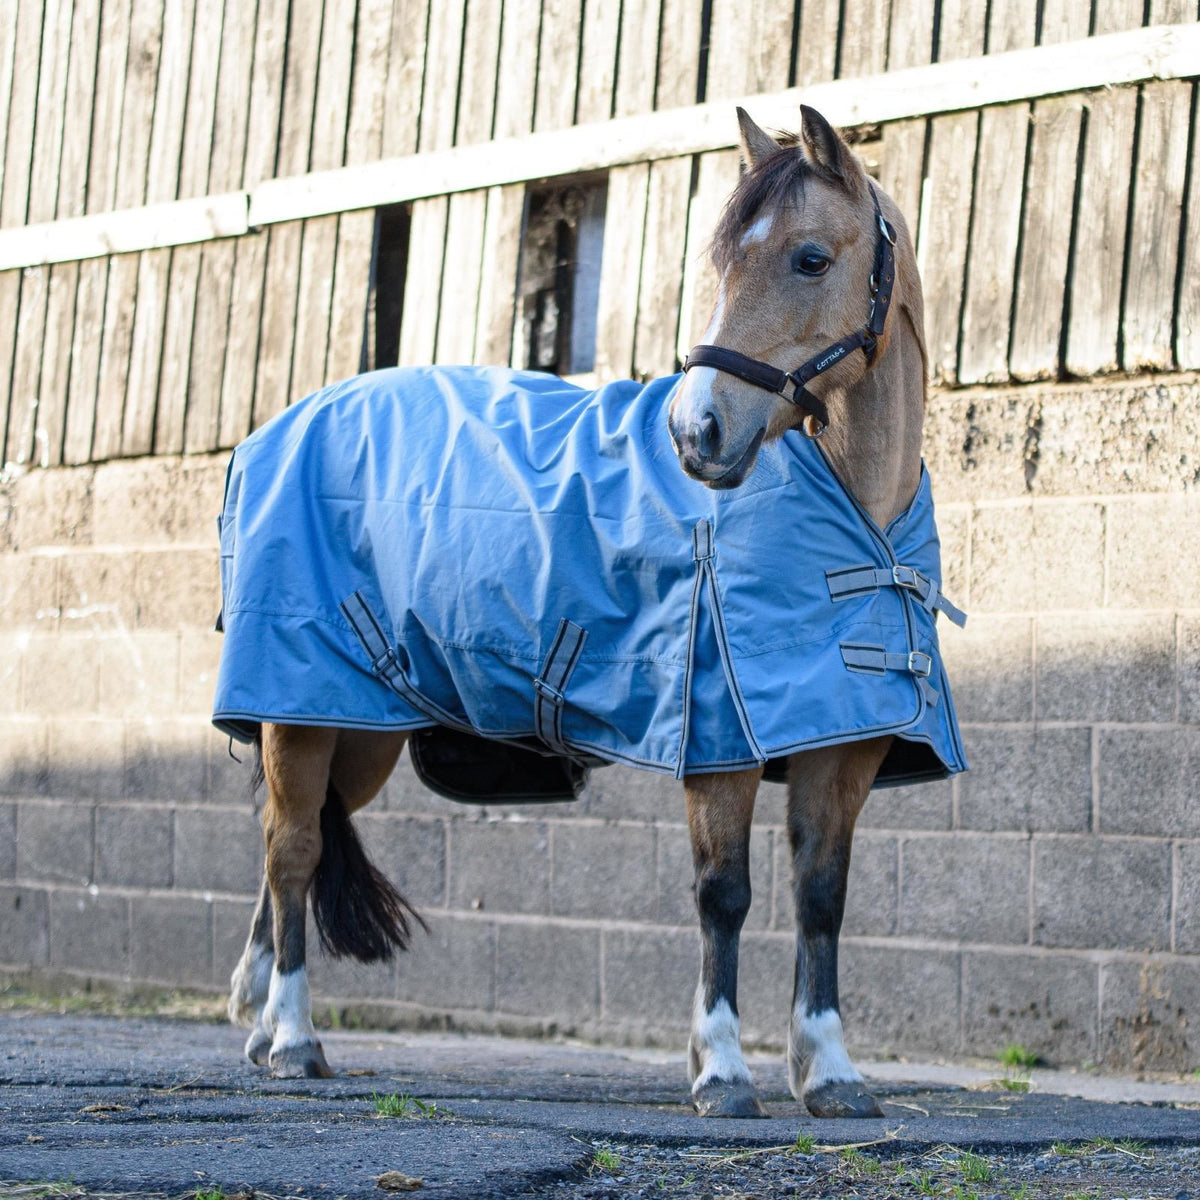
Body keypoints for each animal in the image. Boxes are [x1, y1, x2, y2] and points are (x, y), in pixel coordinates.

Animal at [221, 104, 962, 1121]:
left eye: (810, 259)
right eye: (720, 257)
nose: (698, 433)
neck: (857, 514)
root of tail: (282, 426)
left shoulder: (842, 744)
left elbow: (822, 896)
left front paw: (830, 1074)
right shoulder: (718, 739)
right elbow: (724, 893)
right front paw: (721, 1072)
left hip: (358, 729)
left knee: (280, 855)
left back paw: (260, 1026)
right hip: (300, 712)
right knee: (292, 850)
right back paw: (293, 1038)